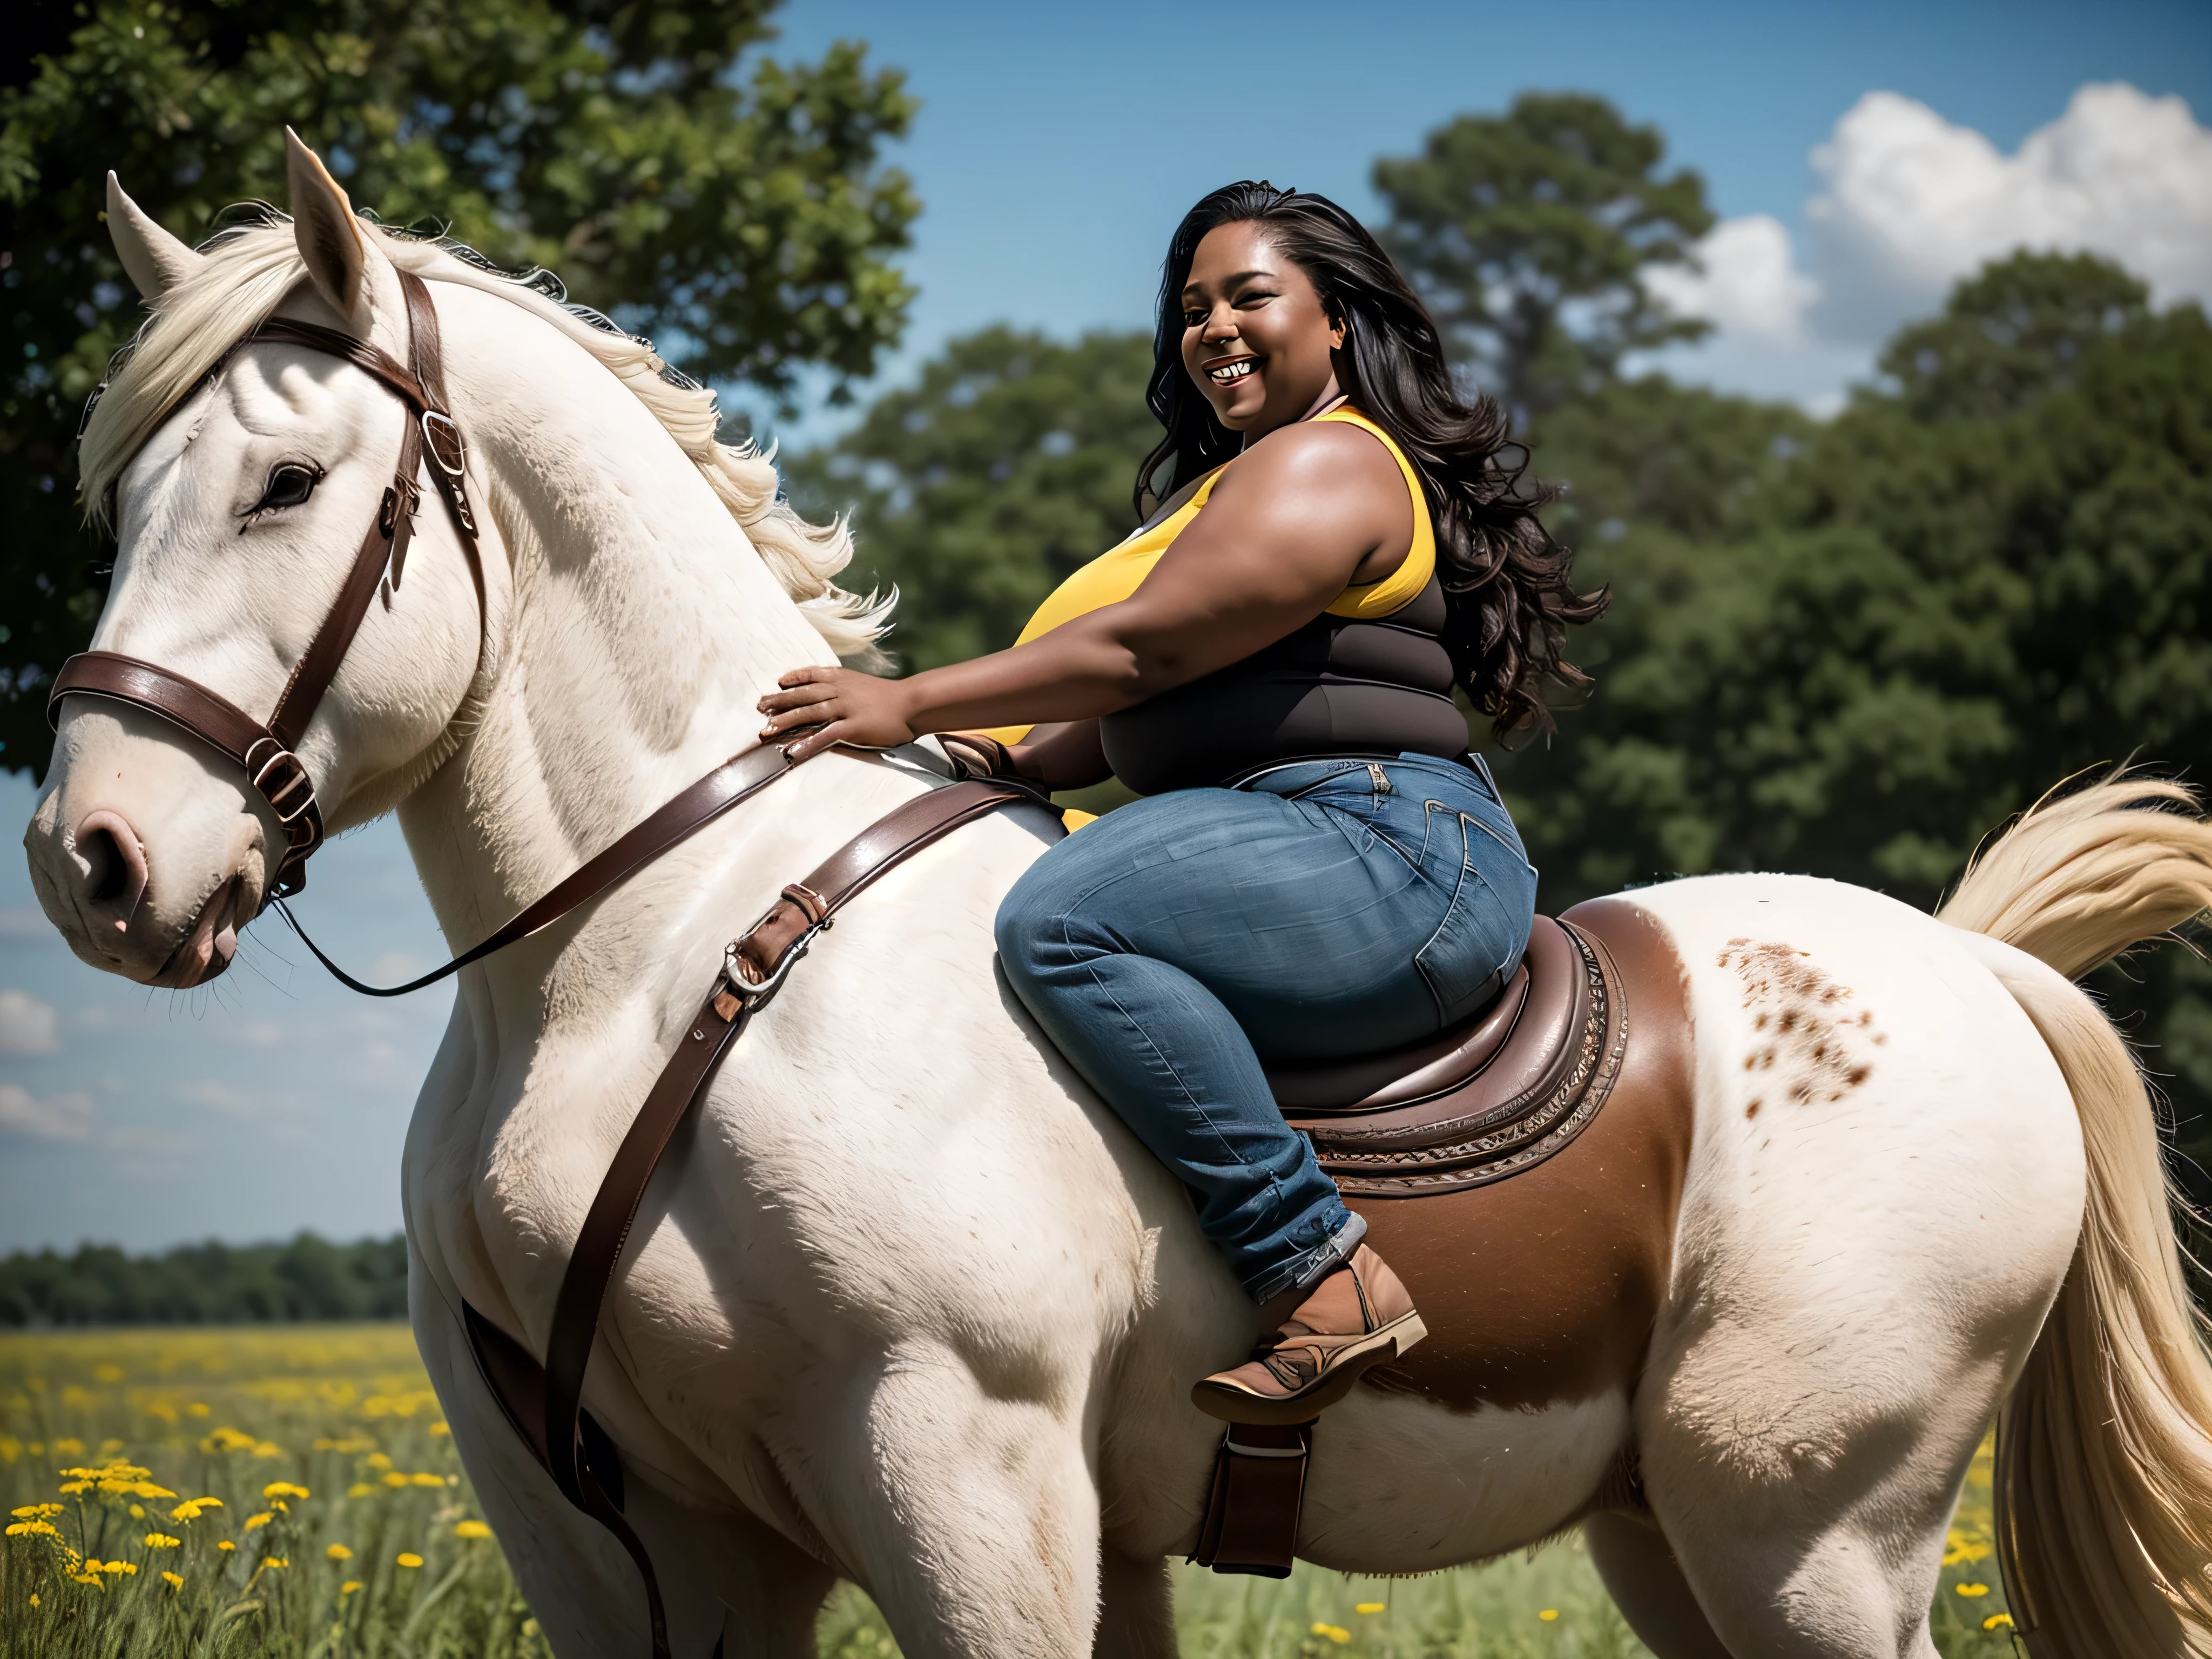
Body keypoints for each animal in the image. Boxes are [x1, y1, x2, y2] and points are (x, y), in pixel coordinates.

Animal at [21, 146, 2212, 1659]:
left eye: (289, 484)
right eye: (120, 499)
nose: (90, 863)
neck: (637, 971)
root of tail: (1977, 970)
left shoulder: (961, 1470)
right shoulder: (624, 1543)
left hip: (1805, 1531)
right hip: (1670, 1526)